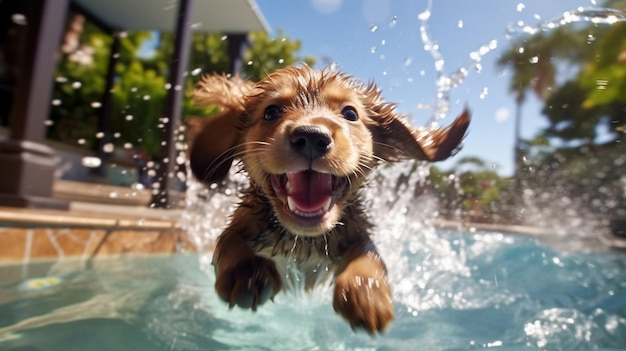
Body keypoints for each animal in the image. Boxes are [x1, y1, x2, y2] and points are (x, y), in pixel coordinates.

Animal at [190, 66, 468, 336]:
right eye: (271, 112)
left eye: (350, 113)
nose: (312, 136)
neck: (303, 239)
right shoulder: (245, 221)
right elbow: (229, 239)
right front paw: (246, 272)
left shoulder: (354, 230)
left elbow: (368, 252)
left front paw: (366, 291)